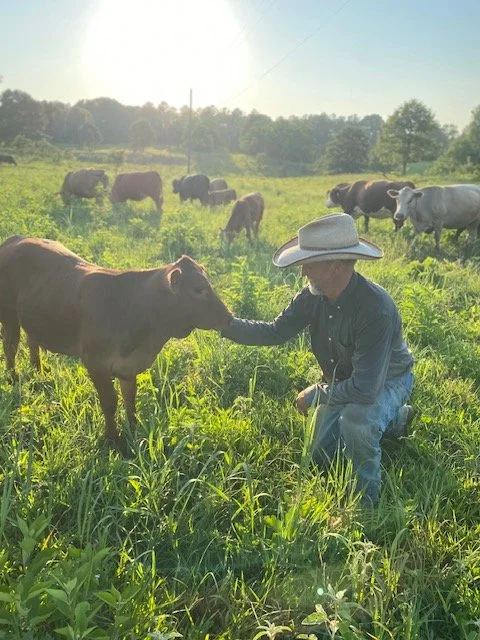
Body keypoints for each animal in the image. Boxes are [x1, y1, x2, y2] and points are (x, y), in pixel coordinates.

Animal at [0, 235, 232, 452]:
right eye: (198, 289)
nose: (228, 317)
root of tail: (16, 239)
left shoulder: (128, 368)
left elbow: (130, 399)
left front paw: (133, 429)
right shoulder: (96, 364)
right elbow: (109, 402)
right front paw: (113, 438)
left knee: (31, 341)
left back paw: (39, 369)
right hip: (9, 315)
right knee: (10, 345)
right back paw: (13, 377)